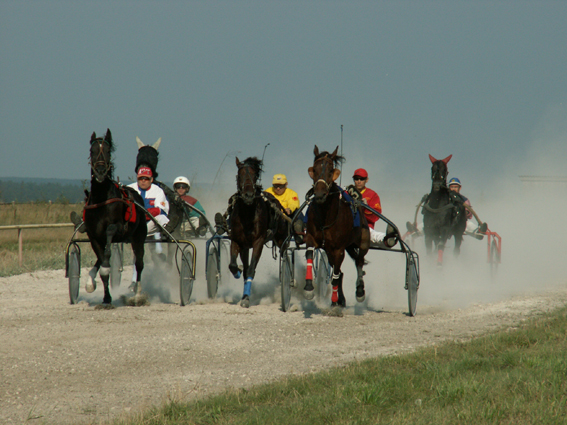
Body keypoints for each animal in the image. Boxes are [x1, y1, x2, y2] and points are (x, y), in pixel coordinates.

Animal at [84, 129, 148, 304]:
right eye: (92, 151)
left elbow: (110, 234)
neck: (101, 200)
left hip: (139, 236)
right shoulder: (93, 235)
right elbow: (102, 264)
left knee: (139, 263)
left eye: (107, 151)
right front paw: (106, 297)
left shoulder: (118, 228)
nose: (100, 172)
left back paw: (138, 294)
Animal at [226, 155, 288, 304]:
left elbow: (251, 270)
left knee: (285, 253)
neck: (248, 213)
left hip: (281, 238)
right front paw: (237, 271)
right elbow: (234, 265)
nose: (248, 195)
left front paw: (246, 299)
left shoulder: (258, 241)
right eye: (240, 175)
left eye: (255, 176)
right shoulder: (237, 240)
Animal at [304, 146, 370, 308]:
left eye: (330, 170)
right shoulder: (312, 237)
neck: (325, 215)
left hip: (363, 240)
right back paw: (341, 299)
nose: (320, 194)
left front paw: (334, 301)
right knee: (339, 270)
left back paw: (359, 291)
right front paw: (308, 288)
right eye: (314, 169)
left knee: (359, 262)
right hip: (330, 250)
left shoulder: (339, 249)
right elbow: (309, 254)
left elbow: (335, 275)